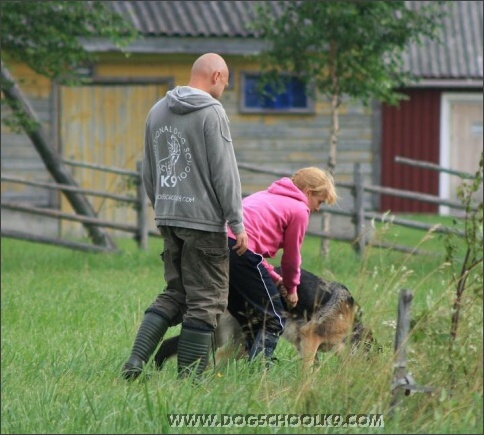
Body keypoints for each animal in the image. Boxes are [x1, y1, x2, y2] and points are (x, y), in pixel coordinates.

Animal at [155, 266, 374, 372]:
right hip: (238, 338)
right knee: (219, 357)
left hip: (227, 337)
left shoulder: (304, 345)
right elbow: (308, 368)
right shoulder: (310, 338)